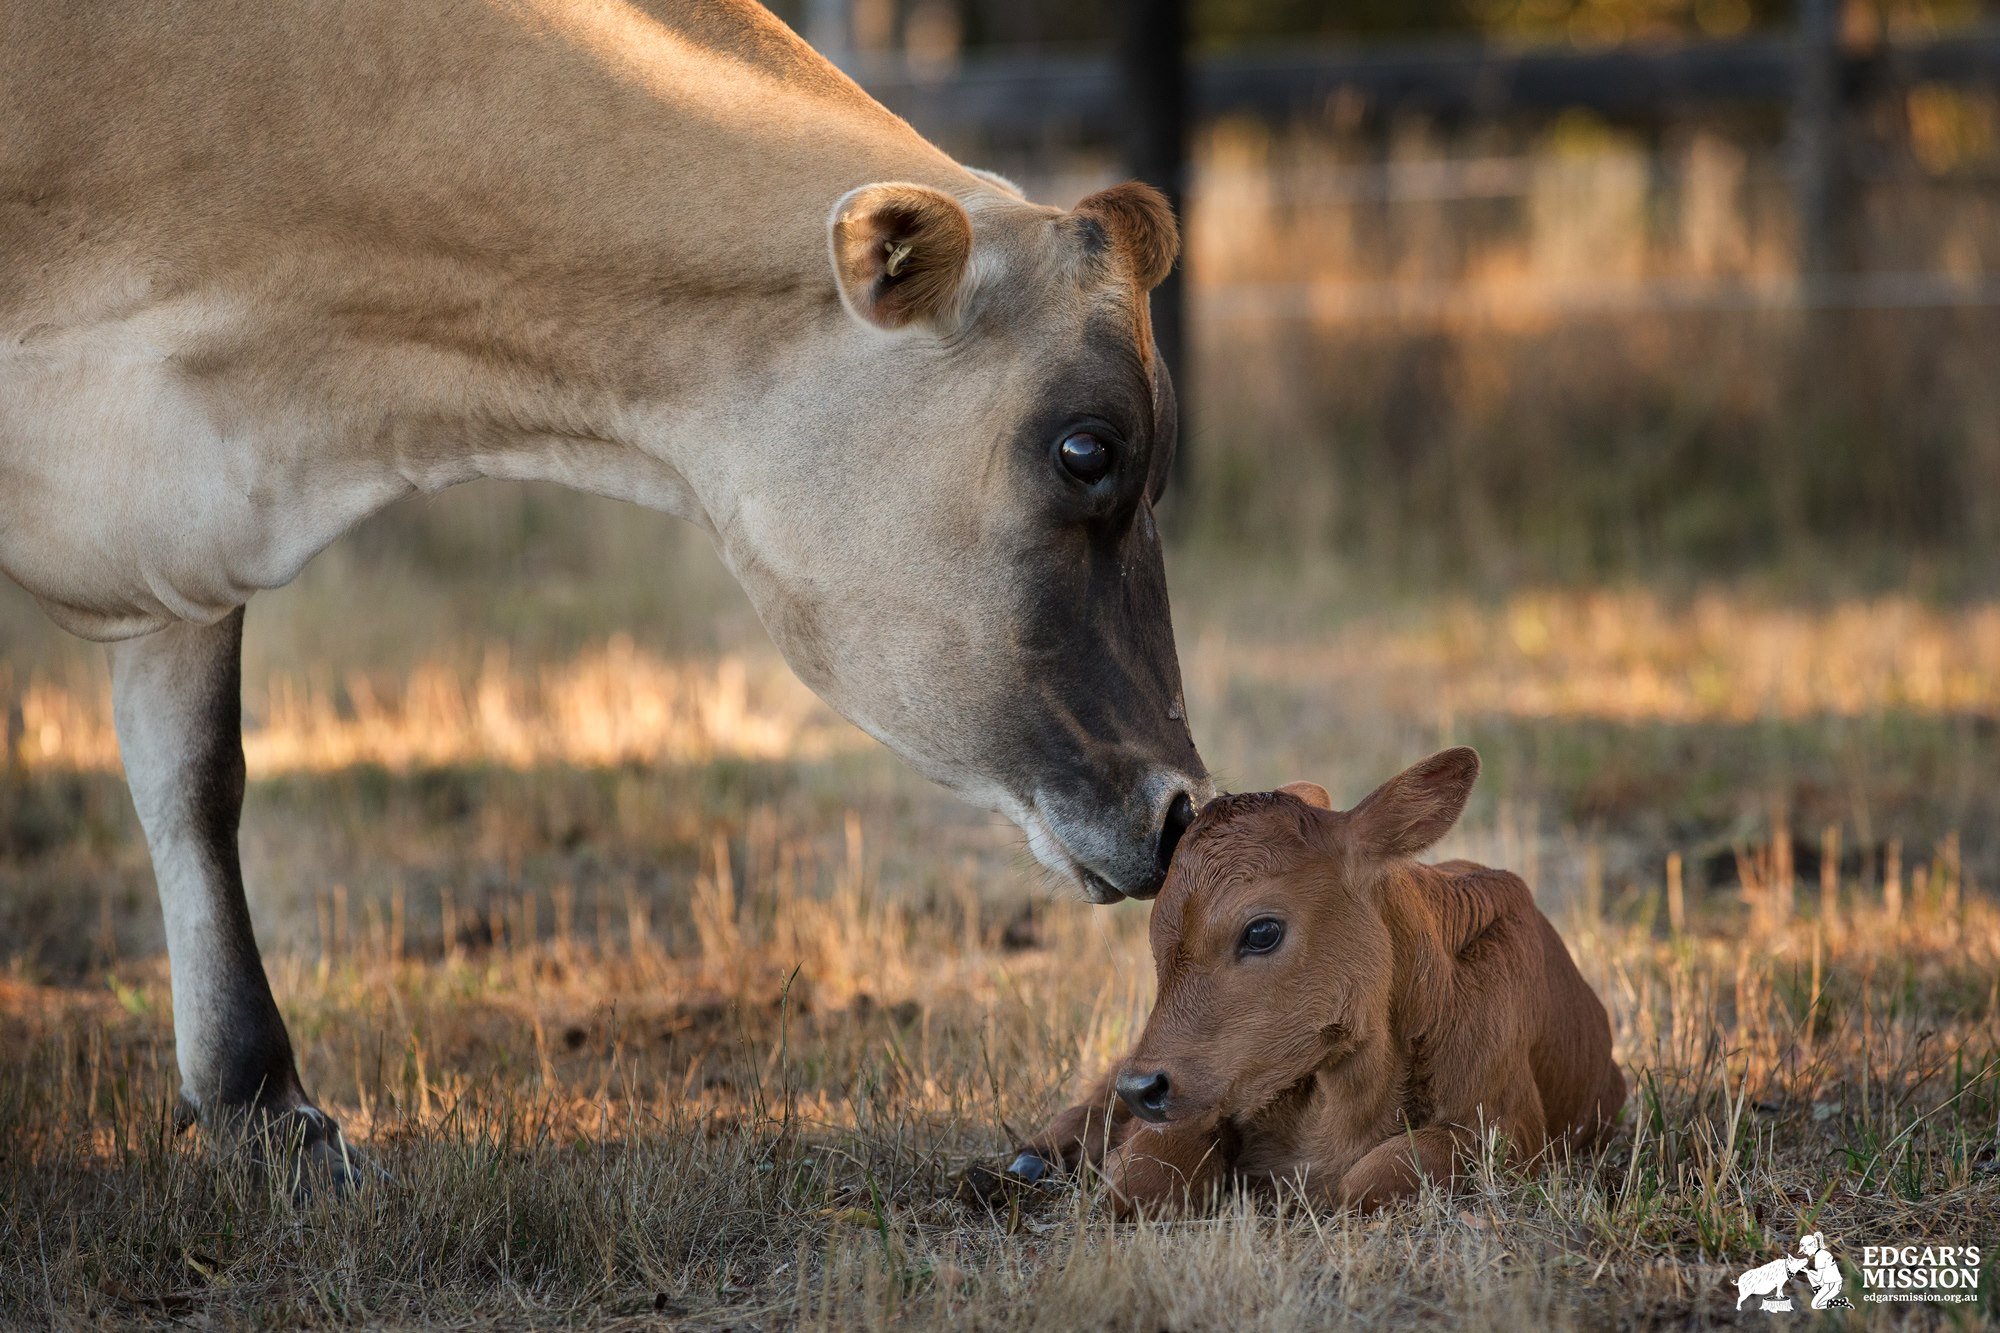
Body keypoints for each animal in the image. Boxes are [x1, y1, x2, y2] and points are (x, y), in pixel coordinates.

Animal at [1000, 748, 1624, 1216]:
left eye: (1262, 931)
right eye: (1157, 936)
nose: (1145, 1087)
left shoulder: (1511, 1133)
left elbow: (1378, 1175)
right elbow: (1140, 1175)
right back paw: (1031, 1160)